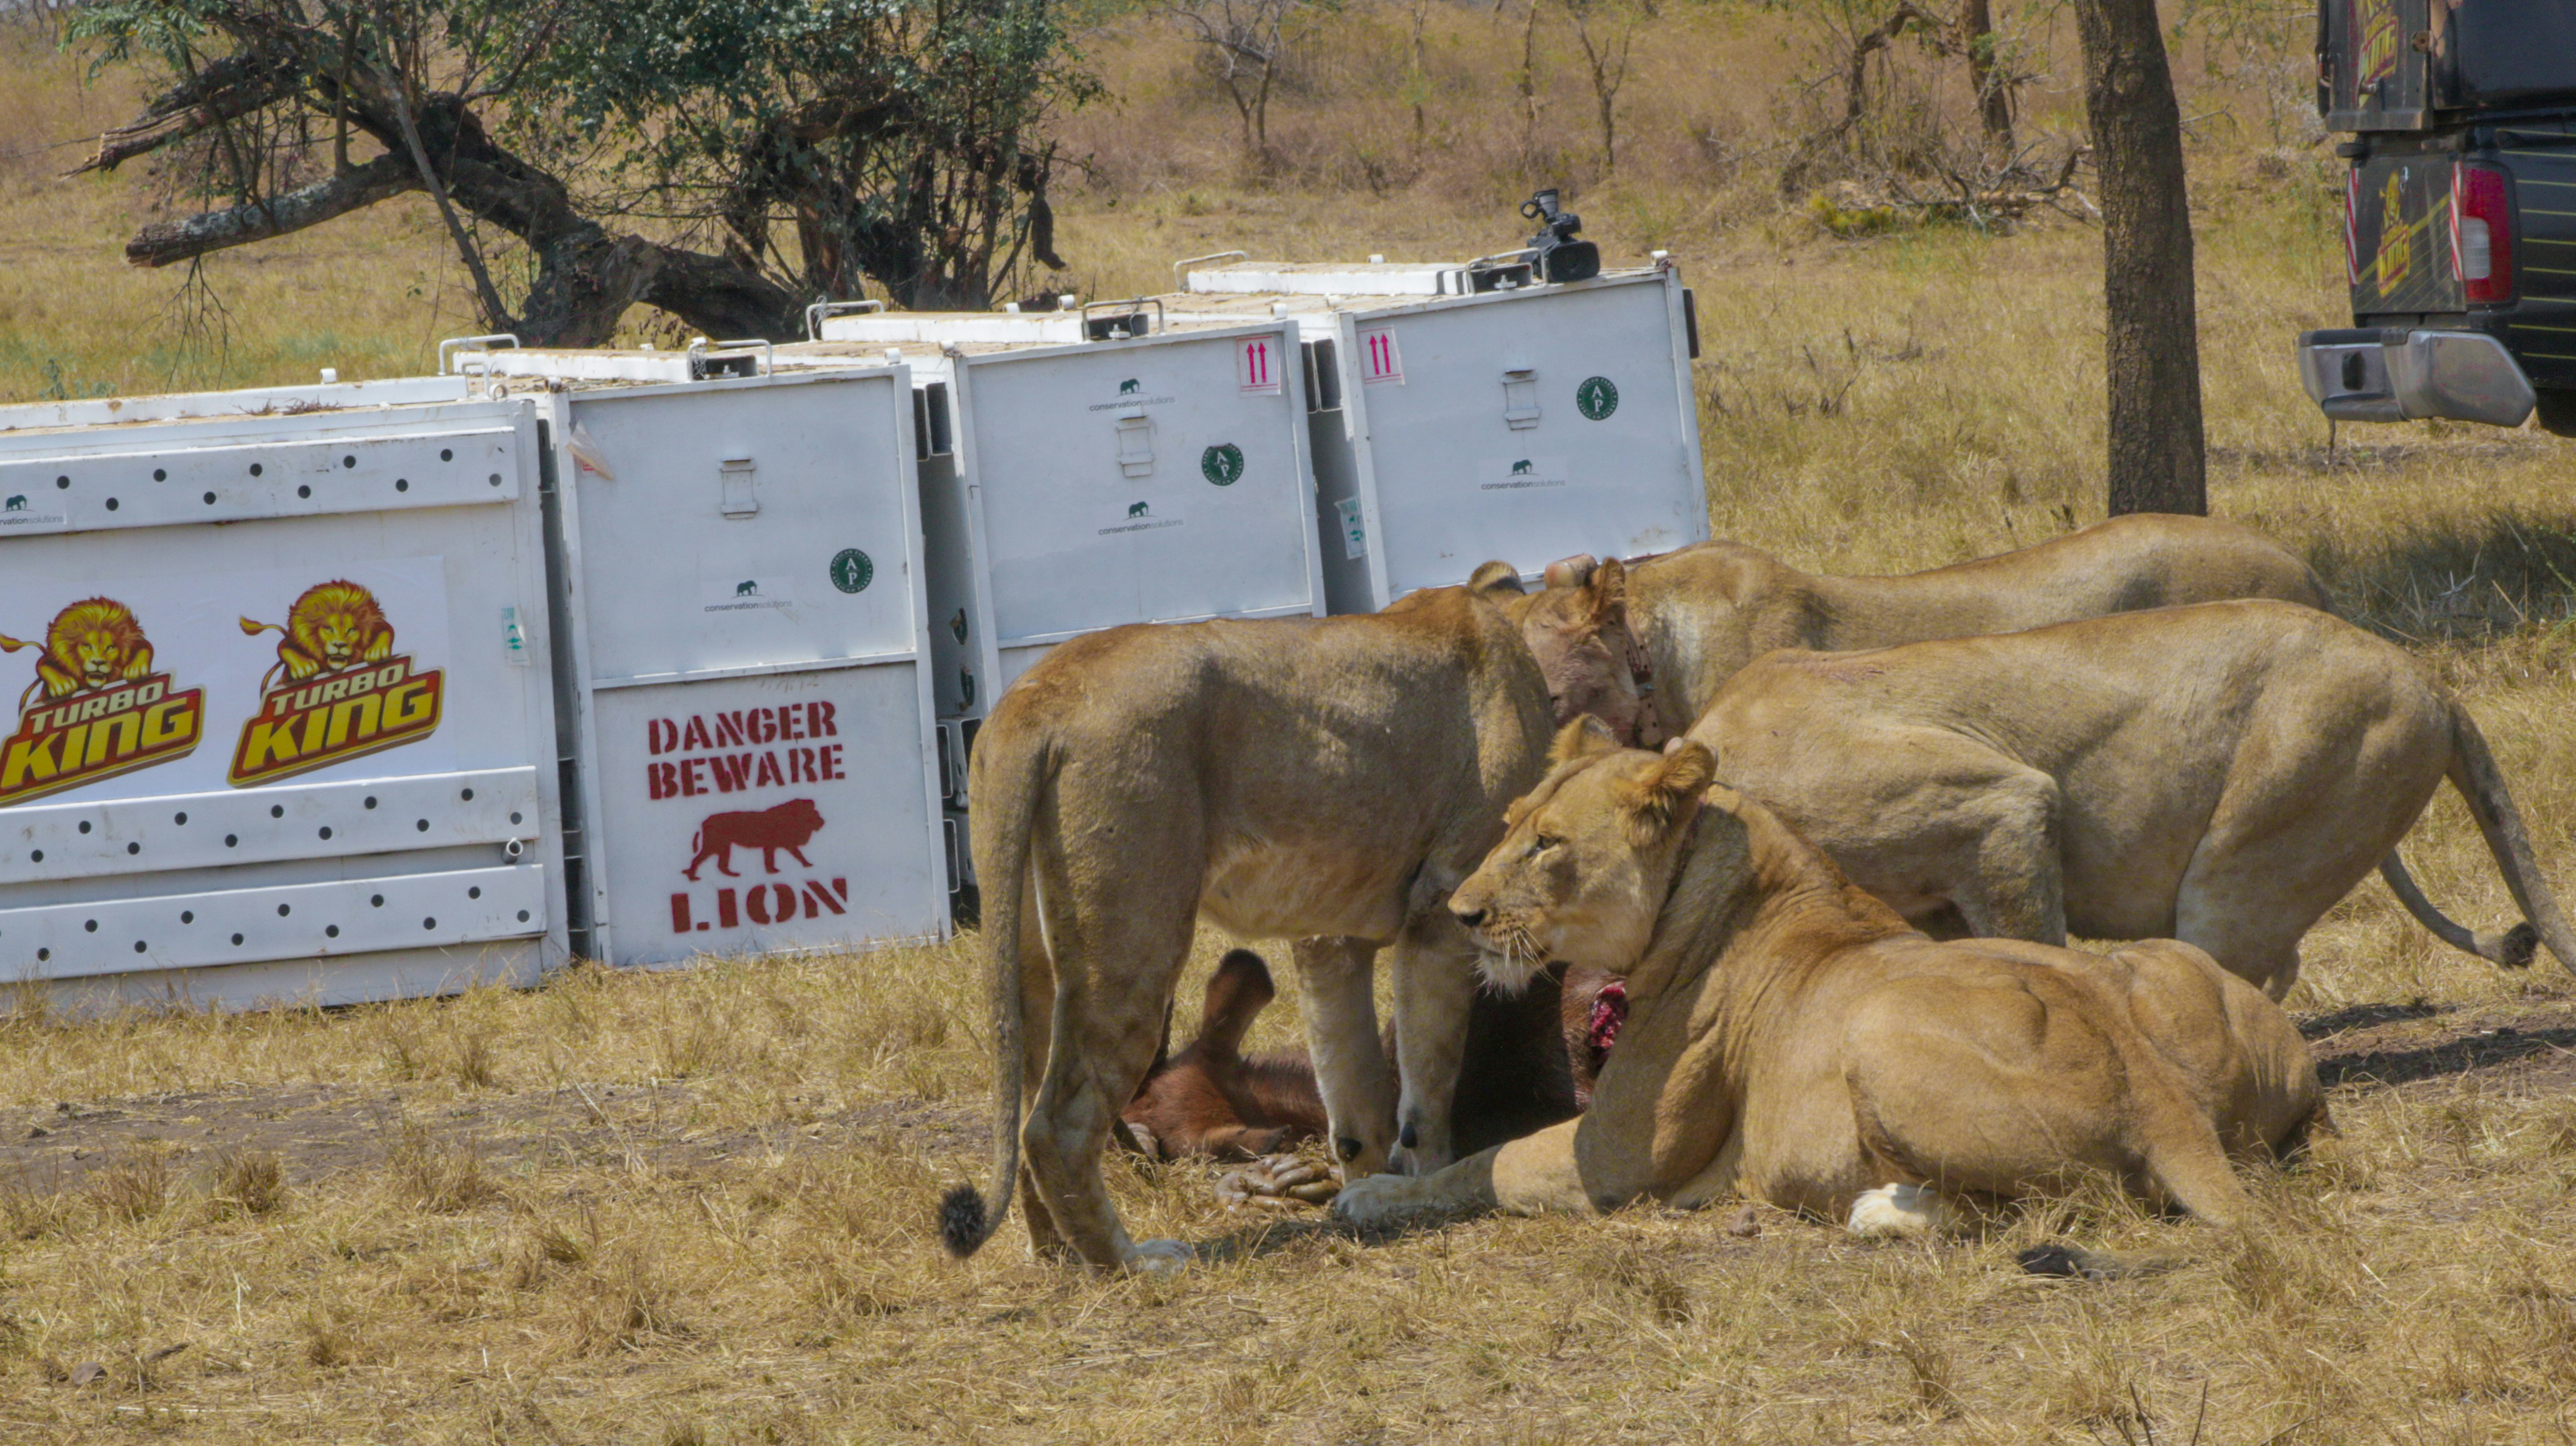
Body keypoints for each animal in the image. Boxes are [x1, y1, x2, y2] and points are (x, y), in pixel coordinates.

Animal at [1, 598, 155, 705]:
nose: (98, 662)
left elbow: (146, 646)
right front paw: (62, 683)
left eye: (111, 647)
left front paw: (136, 668)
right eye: (87, 646)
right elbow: (43, 662)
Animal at [239, 580, 395, 685]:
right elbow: (285, 645)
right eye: (329, 628)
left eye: (351, 630)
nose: (340, 645)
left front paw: (377, 650)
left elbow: (387, 628)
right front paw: (303, 666)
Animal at [683, 798, 825, 880]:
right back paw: (693, 877)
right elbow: (790, 856)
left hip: (724, 846)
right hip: (714, 845)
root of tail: (705, 822)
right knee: (698, 860)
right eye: (814, 814)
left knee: (721, 865)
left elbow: (791, 856)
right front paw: (773, 871)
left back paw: (732, 875)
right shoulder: (779, 845)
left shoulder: (778, 846)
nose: (822, 822)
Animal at [938, 571, 1554, 1272]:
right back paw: (1132, 1263)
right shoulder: (1443, 907)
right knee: (1056, 1126)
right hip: (1134, 944)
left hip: (1031, 953)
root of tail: (1037, 694)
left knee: (1024, 1111)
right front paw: (1424, 1188)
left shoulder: (1331, 935)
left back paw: (1058, 1256)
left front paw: (1363, 1187)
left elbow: (1356, 1091)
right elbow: (1426, 1086)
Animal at [1331, 722, 2326, 1242]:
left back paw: (1884, 1208)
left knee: (2070, 1203)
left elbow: (1483, 1164)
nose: (1459, 911)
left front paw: (1367, 1195)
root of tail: (2157, 1088)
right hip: (2162, 972)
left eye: (1547, 845)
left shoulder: (1615, 1160)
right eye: (1508, 825)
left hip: (1875, 1035)